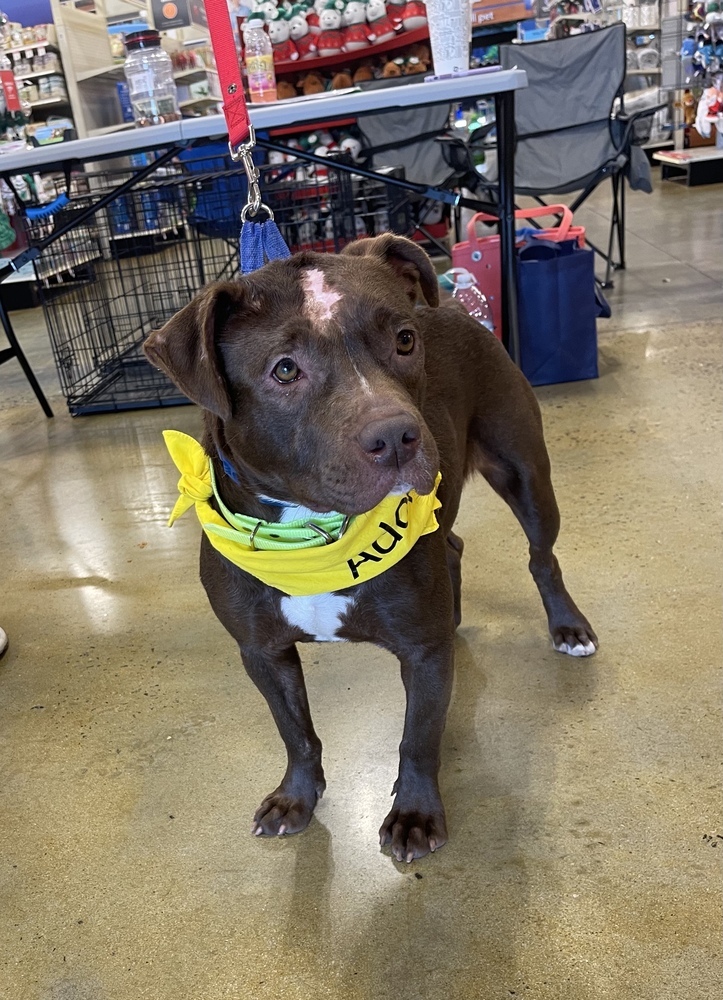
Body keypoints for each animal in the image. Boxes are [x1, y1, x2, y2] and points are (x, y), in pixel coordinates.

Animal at [144, 232, 596, 860]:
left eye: (404, 340)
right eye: (285, 370)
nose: (396, 436)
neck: (313, 534)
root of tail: (455, 309)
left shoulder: (424, 653)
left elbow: (418, 738)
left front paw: (415, 815)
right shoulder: (262, 652)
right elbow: (296, 732)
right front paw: (296, 797)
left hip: (525, 473)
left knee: (542, 557)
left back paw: (568, 626)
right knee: (453, 545)